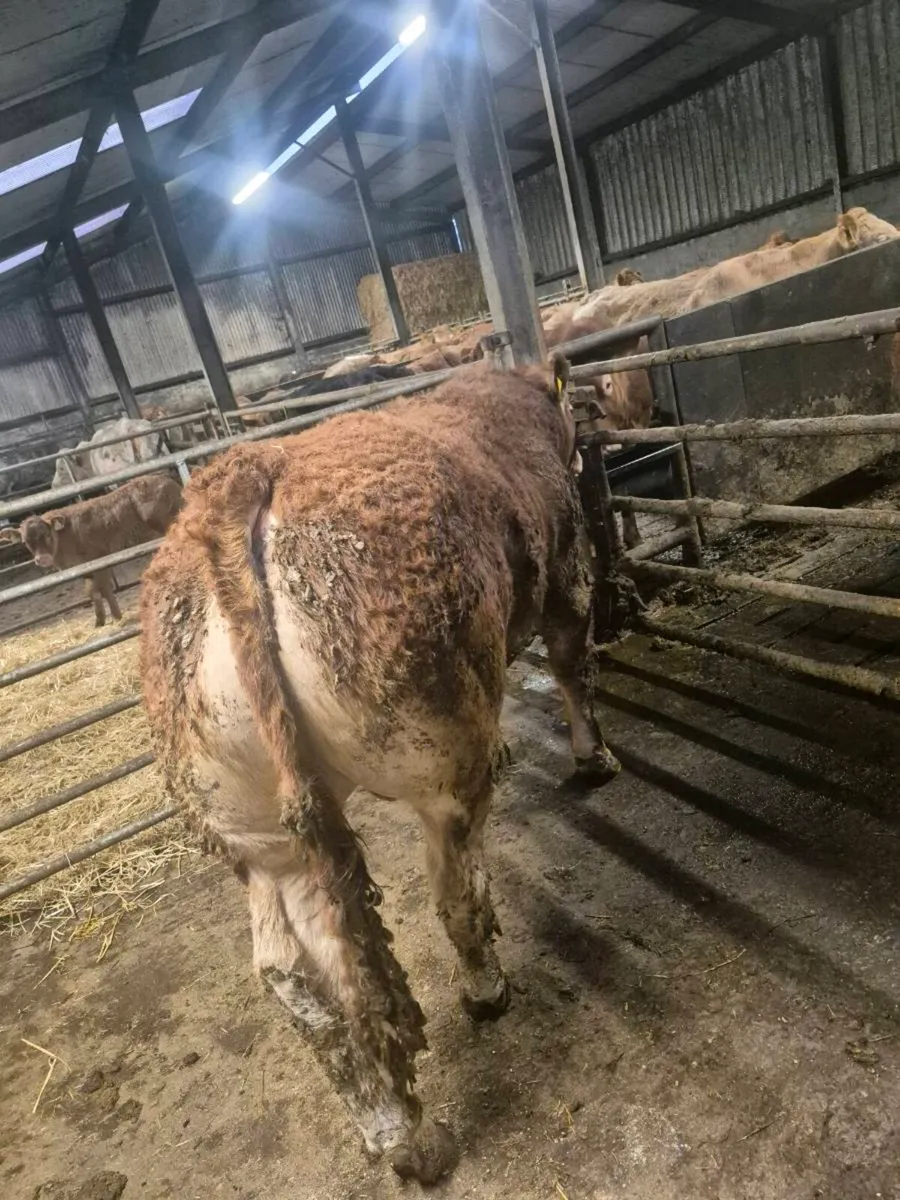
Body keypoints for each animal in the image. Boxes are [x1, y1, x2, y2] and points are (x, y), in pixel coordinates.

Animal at [14, 474, 181, 626]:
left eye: (47, 534)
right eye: (25, 542)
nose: (42, 559)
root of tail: (167, 480)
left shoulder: (99, 558)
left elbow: (101, 589)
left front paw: (113, 616)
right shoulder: (87, 568)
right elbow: (95, 590)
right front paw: (103, 619)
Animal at [139, 357, 619, 1183]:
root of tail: (236, 485)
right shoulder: (566, 570)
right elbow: (569, 662)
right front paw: (594, 758)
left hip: (259, 837)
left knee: (297, 974)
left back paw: (395, 1131)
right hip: (438, 761)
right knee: (453, 894)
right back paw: (484, 991)